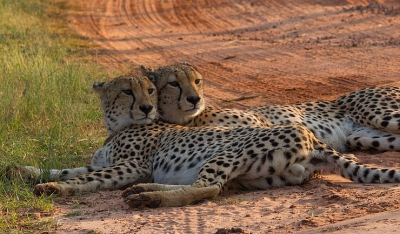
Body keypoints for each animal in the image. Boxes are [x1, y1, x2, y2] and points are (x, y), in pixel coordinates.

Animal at [32, 73, 400, 208]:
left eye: (150, 90)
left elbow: (88, 177)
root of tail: (313, 138)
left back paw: (147, 196)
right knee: (211, 187)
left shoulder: (133, 165)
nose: (147, 107)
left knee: (208, 188)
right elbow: (74, 171)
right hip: (261, 175)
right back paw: (147, 193)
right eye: (127, 91)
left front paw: (53, 188)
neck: (118, 126)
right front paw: (29, 173)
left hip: (227, 152)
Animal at [140, 62, 400, 153]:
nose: (195, 99)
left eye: (197, 81)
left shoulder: (261, 123)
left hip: (381, 114)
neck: (190, 118)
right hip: (365, 137)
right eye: (173, 83)